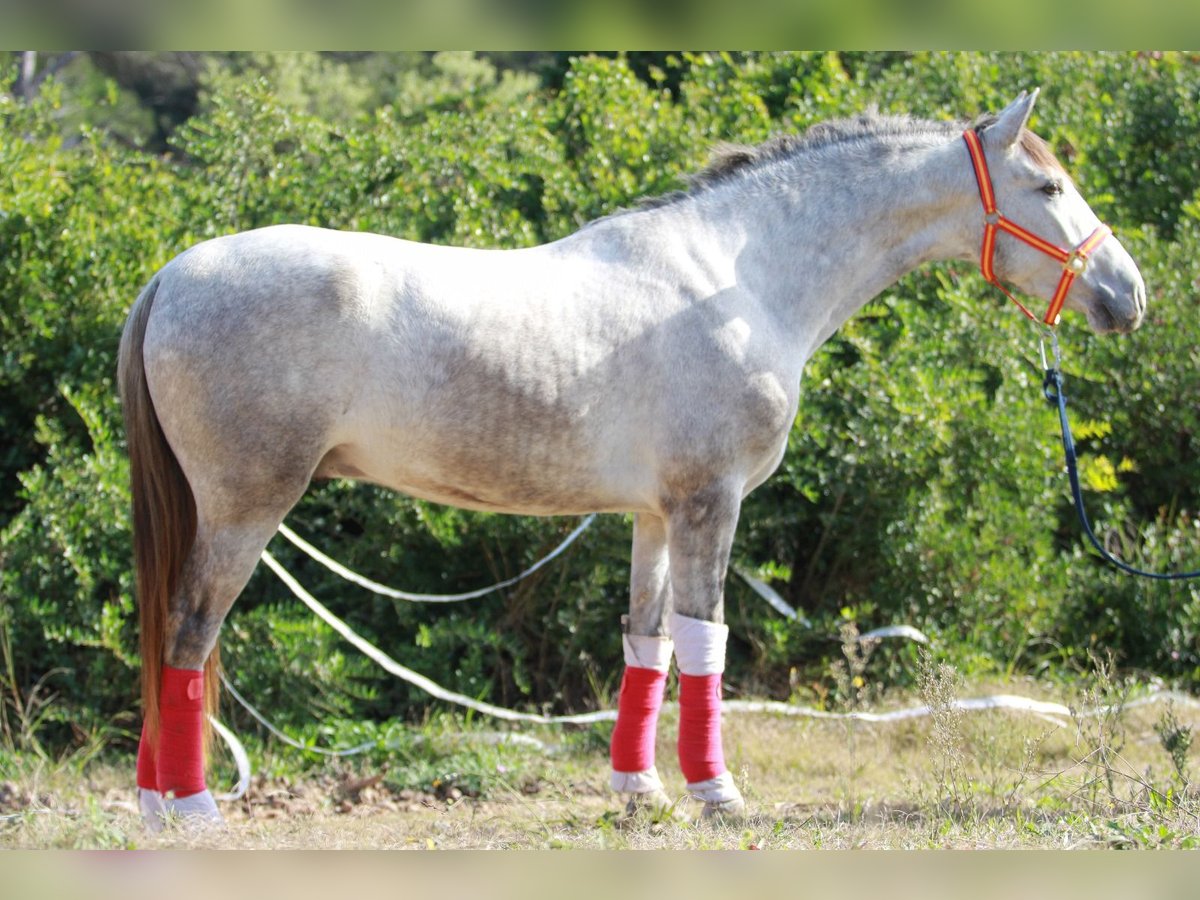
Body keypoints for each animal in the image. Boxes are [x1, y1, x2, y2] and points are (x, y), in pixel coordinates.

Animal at [119, 90, 1146, 829]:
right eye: (1048, 189)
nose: (1127, 293)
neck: (740, 277)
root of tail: (171, 274)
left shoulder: (653, 515)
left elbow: (646, 646)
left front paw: (639, 792)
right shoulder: (708, 502)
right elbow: (707, 640)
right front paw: (717, 794)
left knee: (168, 634)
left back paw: (155, 805)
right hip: (245, 508)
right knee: (189, 634)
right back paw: (194, 810)